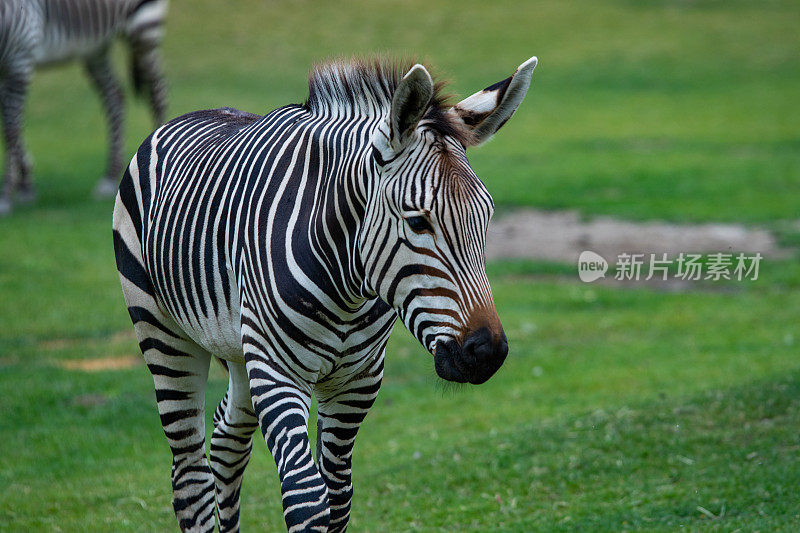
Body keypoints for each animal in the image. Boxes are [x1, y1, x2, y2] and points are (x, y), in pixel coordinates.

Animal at [0, 0, 169, 216]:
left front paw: (7, 195)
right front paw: (26, 185)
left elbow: (10, 128)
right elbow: (12, 123)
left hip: (144, 26)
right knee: (114, 96)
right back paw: (109, 177)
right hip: (96, 47)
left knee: (157, 94)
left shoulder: (20, 55)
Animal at [112, 56, 536, 528]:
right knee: (189, 473)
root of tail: (191, 115)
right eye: (417, 221)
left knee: (226, 441)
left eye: (487, 216)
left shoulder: (357, 380)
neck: (347, 286)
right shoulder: (278, 371)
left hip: (238, 346)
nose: (487, 352)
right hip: (164, 334)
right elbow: (307, 496)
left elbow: (339, 495)